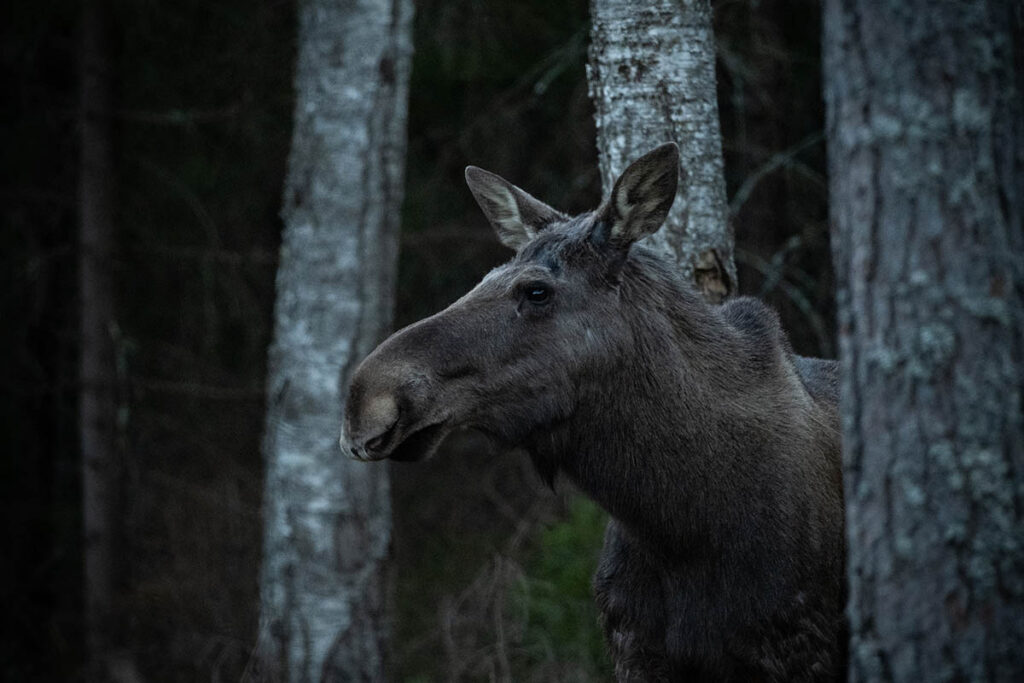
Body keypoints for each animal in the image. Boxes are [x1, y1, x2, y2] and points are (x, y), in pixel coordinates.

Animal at [340, 143, 846, 682]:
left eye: (536, 290)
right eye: (485, 278)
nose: (365, 400)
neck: (683, 526)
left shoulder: (798, 649)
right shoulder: (636, 651)